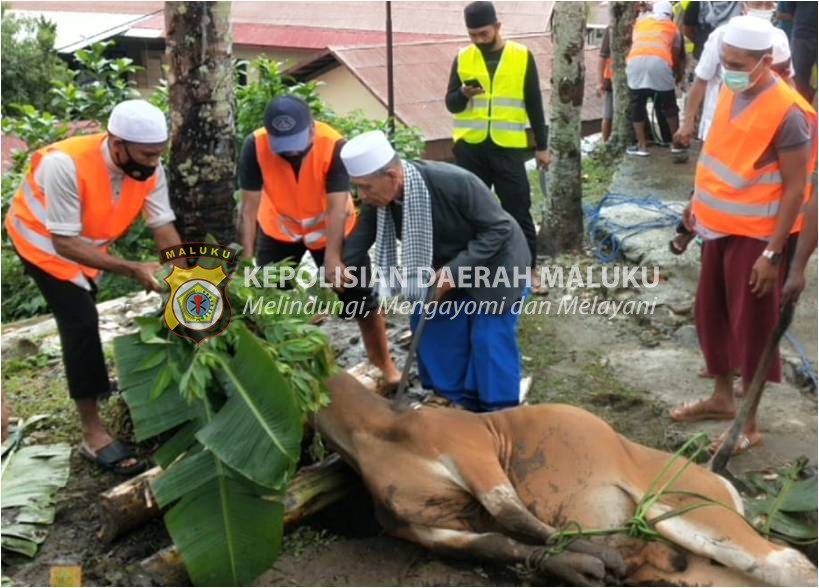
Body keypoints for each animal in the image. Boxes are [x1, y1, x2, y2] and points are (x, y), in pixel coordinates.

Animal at [318, 374, 816, 584]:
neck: (375, 430)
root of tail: (721, 481)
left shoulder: (471, 451)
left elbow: (514, 515)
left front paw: (595, 556)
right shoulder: (425, 529)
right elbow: (500, 542)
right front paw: (581, 568)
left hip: (687, 510)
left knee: (789, 564)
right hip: (701, 570)